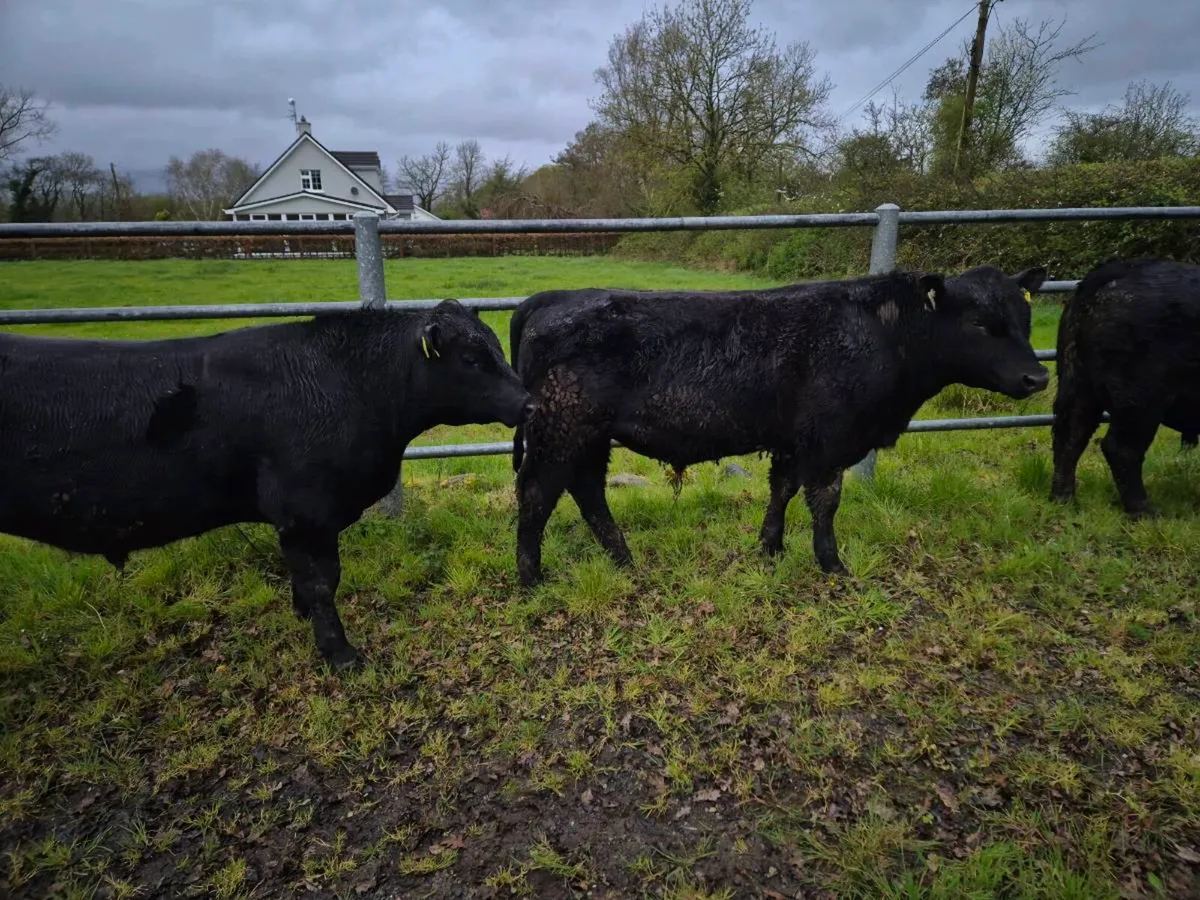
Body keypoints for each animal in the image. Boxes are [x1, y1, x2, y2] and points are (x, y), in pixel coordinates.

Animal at [0, 300, 532, 670]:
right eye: (471, 358)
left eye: (497, 347)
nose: (528, 402)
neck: (352, 384)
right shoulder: (305, 513)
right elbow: (321, 581)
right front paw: (340, 655)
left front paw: (305, 619)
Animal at [508, 265, 1050, 587]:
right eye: (979, 323)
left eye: (1025, 317)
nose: (1038, 376)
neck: (882, 333)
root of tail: (550, 297)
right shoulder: (830, 440)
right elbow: (825, 502)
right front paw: (833, 566)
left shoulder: (794, 439)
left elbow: (783, 489)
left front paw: (770, 548)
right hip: (563, 428)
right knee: (538, 492)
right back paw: (532, 577)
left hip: (589, 436)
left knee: (586, 491)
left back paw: (623, 559)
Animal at [1050, 258, 1200, 515]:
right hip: (1141, 395)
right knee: (1120, 448)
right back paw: (1146, 511)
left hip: (1077, 379)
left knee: (1070, 434)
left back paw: (1065, 501)